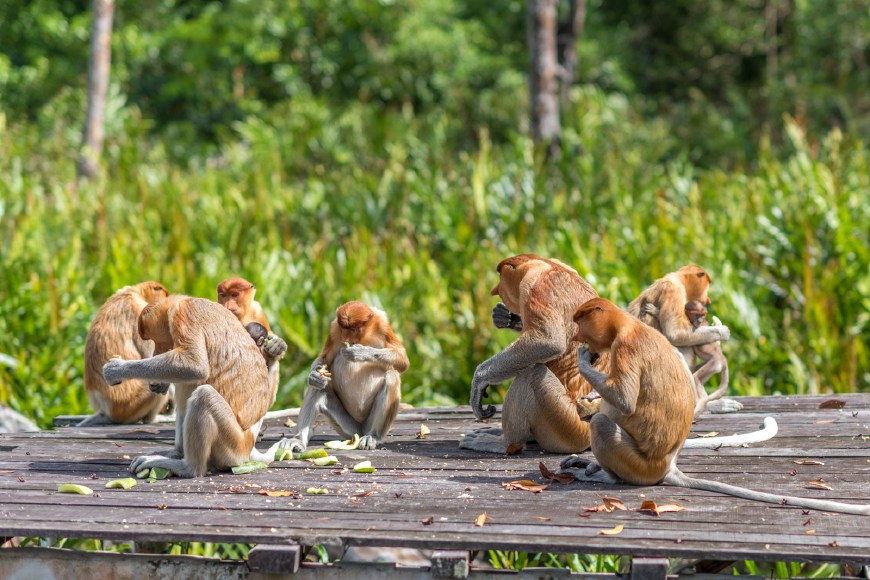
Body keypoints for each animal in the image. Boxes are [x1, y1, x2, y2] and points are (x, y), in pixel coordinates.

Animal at [102, 296, 286, 478]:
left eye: (156, 341)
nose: (155, 353)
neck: (182, 301)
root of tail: (249, 447)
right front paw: (159, 383)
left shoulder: (184, 314)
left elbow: (195, 366)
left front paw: (116, 369)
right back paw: (176, 453)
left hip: (233, 443)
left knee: (203, 395)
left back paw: (185, 467)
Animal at [460, 256, 608, 456]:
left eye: (501, 278)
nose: (495, 290)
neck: (547, 264)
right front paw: (504, 316)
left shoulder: (537, 287)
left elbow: (547, 341)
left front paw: (478, 383)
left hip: (567, 423)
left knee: (532, 373)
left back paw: (502, 443)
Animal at [560, 300, 870, 516]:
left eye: (581, 323)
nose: (575, 339)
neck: (627, 324)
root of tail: (668, 466)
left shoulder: (626, 346)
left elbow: (624, 399)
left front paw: (584, 361)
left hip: (638, 466)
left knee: (602, 423)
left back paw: (604, 475)